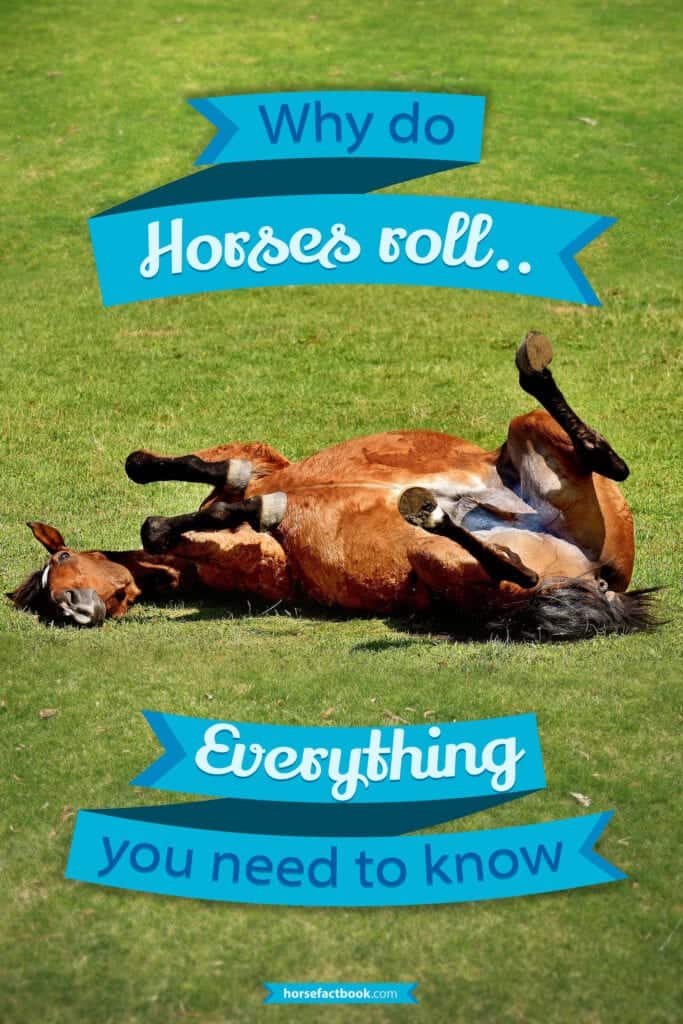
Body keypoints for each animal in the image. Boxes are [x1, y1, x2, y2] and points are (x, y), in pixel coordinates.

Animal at [8, 334, 657, 640]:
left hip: (529, 446)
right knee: (514, 566)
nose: (73, 609)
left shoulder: (259, 464)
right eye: (45, 596)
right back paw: (435, 510)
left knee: (604, 462)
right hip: (463, 560)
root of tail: (603, 581)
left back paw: (532, 371)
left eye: (62, 559)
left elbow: (190, 485)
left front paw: (225, 501)